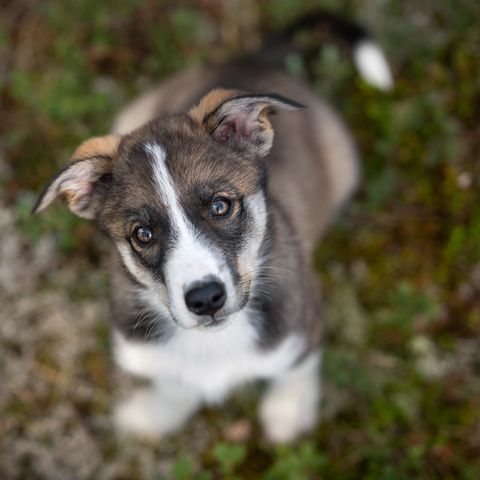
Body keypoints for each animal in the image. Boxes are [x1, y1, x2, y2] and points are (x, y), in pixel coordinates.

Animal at [34, 13, 394, 442]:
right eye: (143, 234)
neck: (215, 342)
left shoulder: (304, 324)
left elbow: (296, 369)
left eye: (221, 206)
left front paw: (287, 413)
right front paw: (156, 416)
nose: (205, 299)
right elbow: (173, 383)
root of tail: (252, 60)